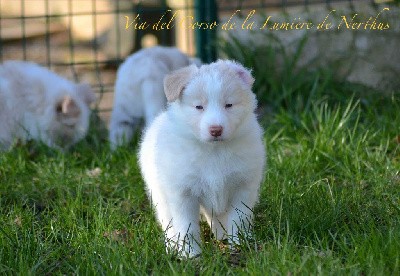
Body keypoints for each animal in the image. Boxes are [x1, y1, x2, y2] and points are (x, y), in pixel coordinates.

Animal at [139, 59, 268, 258]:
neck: (214, 150)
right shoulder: (183, 192)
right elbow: (187, 226)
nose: (216, 130)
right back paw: (172, 246)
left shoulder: (242, 186)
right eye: (199, 107)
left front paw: (239, 244)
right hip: (159, 194)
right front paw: (191, 254)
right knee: (167, 221)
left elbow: (238, 218)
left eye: (229, 105)